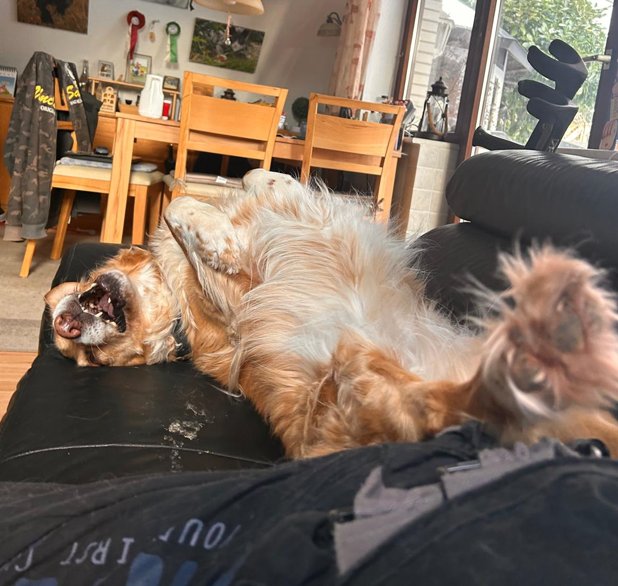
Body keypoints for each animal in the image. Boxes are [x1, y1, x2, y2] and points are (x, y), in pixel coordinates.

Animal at [45, 169, 618, 458]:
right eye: (88, 363)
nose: (63, 323)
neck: (182, 325)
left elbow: (253, 173)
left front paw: (277, 185)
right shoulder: (240, 295)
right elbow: (178, 206)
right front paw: (221, 235)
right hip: (362, 364)